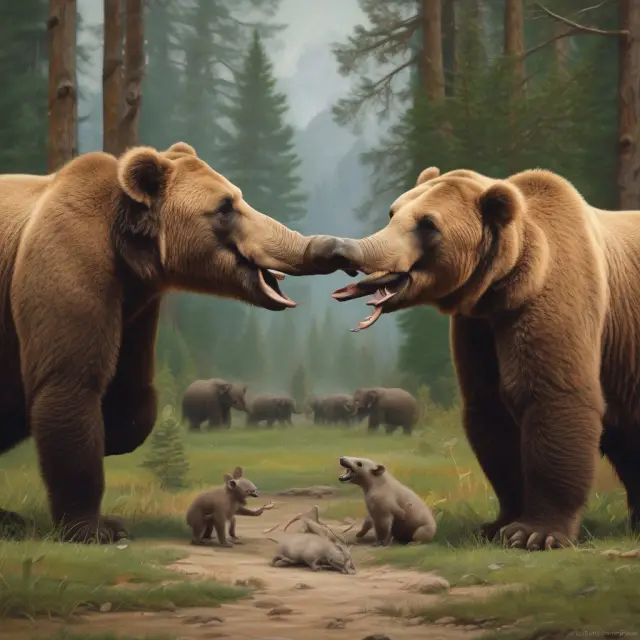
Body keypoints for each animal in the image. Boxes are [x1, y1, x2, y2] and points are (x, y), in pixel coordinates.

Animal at [0, 141, 357, 543]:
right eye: (225, 207)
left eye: (237, 198)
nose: (330, 246)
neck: (125, 248)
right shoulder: (67, 268)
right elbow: (71, 386)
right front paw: (98, 528)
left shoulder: (134, 307)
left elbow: (132, 398)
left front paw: (116, 436)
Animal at [324, 164, 640, 551]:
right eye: (393, 212)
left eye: (428, 224)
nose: (344, 249)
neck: (505, 284)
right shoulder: (479, 329)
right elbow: (492, 416)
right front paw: (497, 524)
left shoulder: (552, 304)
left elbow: (550, 398)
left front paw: (534, 532)